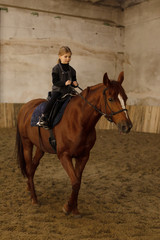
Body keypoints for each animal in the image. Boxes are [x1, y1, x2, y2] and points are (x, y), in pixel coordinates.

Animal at [15, 71, 132, 216]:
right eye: (110, 99)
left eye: (125, 98)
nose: (127, 126)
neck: (79, 121)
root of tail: (25, 107)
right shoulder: (64, 156)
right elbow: (75, 182)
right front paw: (67, 207)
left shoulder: (83, 156)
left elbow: (78, 181)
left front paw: (74, 209)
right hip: (27, 144)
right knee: (28, 168)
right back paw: (34, 199)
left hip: (40, 147)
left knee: (32, 168)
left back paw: (30, 190)